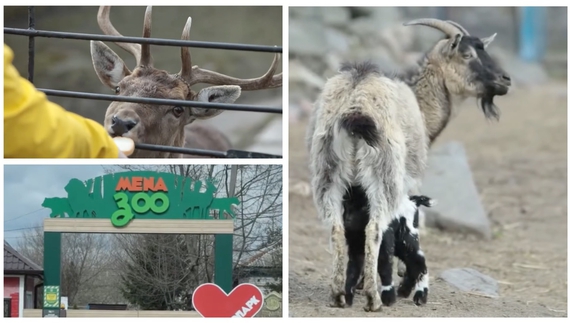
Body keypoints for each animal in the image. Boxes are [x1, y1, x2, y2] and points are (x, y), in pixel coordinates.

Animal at [306, 19, 510, 312]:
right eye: (467, 54)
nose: (505, 81)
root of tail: (355, 106)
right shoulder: (409, 183)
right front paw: (399, 280)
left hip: (328, 172)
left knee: (336, 229)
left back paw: (338, 296)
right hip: (384, 172)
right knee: (375, 228)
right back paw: (374, 299)